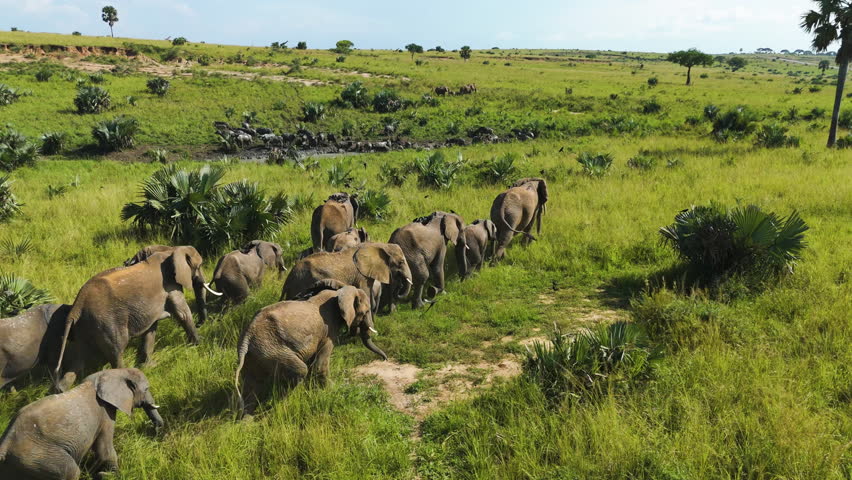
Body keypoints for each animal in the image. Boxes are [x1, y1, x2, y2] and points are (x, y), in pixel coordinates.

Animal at [0, 368, 163, 480]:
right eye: (146, 389)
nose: (157, 430)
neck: (112, 372)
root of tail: (5, 443)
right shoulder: (105, 412)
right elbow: (104, 450)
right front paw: (110, 475)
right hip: (36, 455)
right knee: (71, 471)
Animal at [54, 246, 222, 392]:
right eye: (199, 266)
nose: (201, 324)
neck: (170, 250)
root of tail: (77, 306)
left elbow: (151, 328)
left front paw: (150, 366)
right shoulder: (170, 285)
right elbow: (182, 313)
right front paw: (199, 343)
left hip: (83, 327)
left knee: (78, 359)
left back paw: (60, 390)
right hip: (106, 323)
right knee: (116, 351)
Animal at [235, 283, 385, 417]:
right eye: (366, 312)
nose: (384, 359)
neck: (339, 293)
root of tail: (247, 337)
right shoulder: (328, 331)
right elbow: (319, 365)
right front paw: (334, 390)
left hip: (255, 356)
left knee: (252, 385)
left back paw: (247, 421)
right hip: (273, 351)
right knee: (299, 371)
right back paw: (275, 408)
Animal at [281, 243, 412, 315]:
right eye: (401, 262)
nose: (399, 288)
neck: (378, 245)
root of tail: (289, 277)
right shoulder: (361, 276)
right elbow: (366, 295)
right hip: (302, 284)